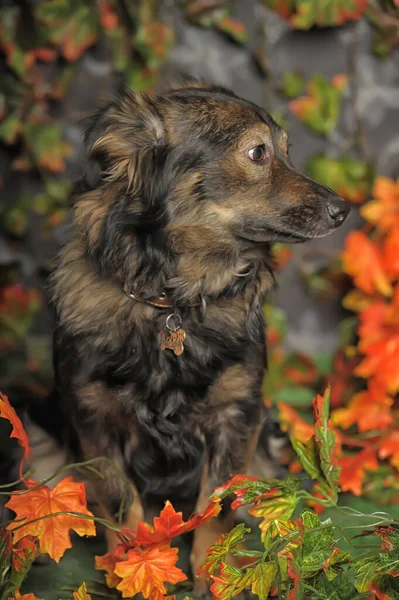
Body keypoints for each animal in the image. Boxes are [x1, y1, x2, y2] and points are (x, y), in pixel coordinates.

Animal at [35, 83, 350, 596]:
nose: (344, 210)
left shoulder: (237, 414)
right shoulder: (94, 420)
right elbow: (122, 503)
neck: (173, 299)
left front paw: (218, 575)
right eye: (257, 152)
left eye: (287, 150)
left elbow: (218, 506)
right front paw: (134, 565)